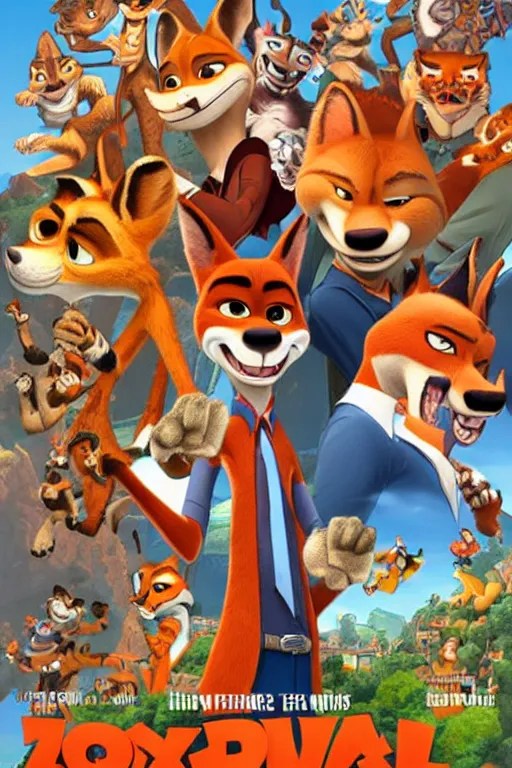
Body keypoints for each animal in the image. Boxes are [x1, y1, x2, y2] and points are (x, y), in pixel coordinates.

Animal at [144, 0, 296, 246]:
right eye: (171, 82)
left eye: (209, 70)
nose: (186, 102)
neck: (222, 156)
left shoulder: (256, 159)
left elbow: (236, 217)